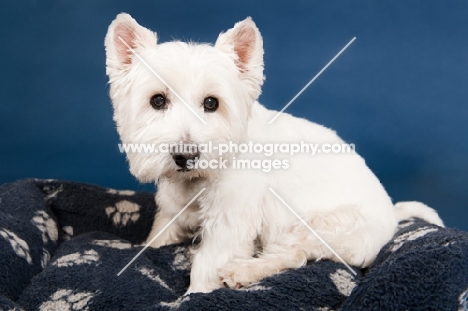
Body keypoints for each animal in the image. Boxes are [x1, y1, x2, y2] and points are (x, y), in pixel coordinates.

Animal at [104, 12, 444, 294]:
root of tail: (391, 216)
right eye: (157, 100)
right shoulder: (173, 208)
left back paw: (245, 271)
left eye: (212, 103)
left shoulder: (230, 221)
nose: (185, 156)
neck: (198, 180)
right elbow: (159, 236)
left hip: (323, 226)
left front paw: (195, 295)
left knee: (293, 254)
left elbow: (208, 264)